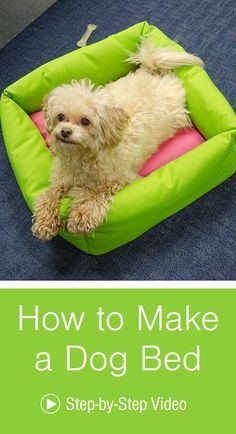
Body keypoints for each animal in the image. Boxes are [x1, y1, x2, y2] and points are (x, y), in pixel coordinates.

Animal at [32, 37, 204, 241]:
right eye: (60, 117)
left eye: (85, 121)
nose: (65, 132)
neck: (83, 158)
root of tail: (153, 72)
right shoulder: (61, 178)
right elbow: (48, 194)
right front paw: (45, 221)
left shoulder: (121, 179)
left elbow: (95, 192)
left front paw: (82, 216)